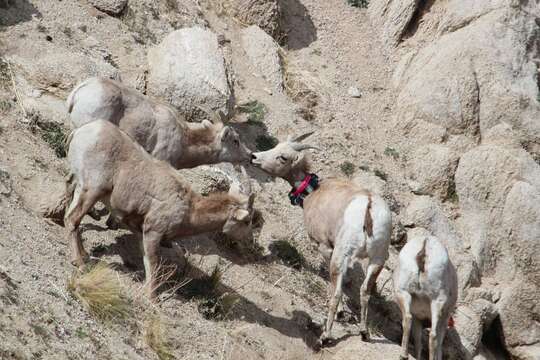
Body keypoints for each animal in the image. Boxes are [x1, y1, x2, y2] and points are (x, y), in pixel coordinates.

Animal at [65, 120, 255, 298]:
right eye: (247, 221)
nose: (249, 241)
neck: (189, 210)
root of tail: (82, 131)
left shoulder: (143, 233)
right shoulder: (153, 232)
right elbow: (153, 263)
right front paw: (151, 297)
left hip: (81, 189)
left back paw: (84, 256)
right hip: (93, 191)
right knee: (72, 220)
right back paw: (79, 263)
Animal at [249, 135, 392, 346]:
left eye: (283, 157)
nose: (254, 157)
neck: (314, 191)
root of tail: (369, 206)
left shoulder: (325, 248)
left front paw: (341, 313)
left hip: (342, 254)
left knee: (337, 293)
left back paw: (326, 336)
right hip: (377, 260)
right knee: (365, 291)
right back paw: (364, 333)